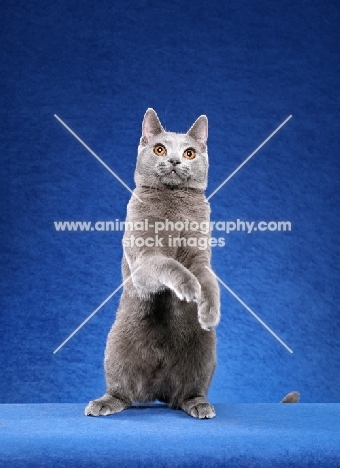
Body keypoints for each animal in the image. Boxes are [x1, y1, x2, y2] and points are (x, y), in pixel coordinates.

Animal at [85, 109, 220, 420]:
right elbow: (166, 264)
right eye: (159, 149)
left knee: (187, 392)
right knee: (122, 391)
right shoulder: (144, 258)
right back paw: (103, 403)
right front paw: (188, 286)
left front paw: (209, 310)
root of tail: (158, 388)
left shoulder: (200, 253)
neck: (174, 207)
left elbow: (209, 279)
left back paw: (199, 405)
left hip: (204, 352)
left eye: (189, 153)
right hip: (116, 347)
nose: (175, 160)